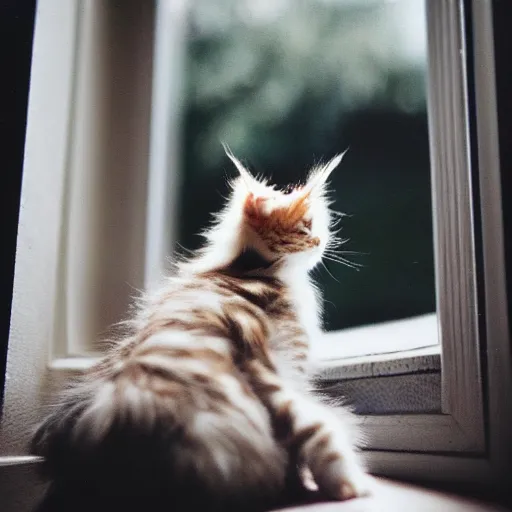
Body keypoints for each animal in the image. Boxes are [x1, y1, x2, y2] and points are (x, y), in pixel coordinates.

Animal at [31, 149, 368, 512]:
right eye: (307, 227)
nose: (321, 241)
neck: (248, 269)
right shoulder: (274, 370)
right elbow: (316, 431)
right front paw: (347, 487)